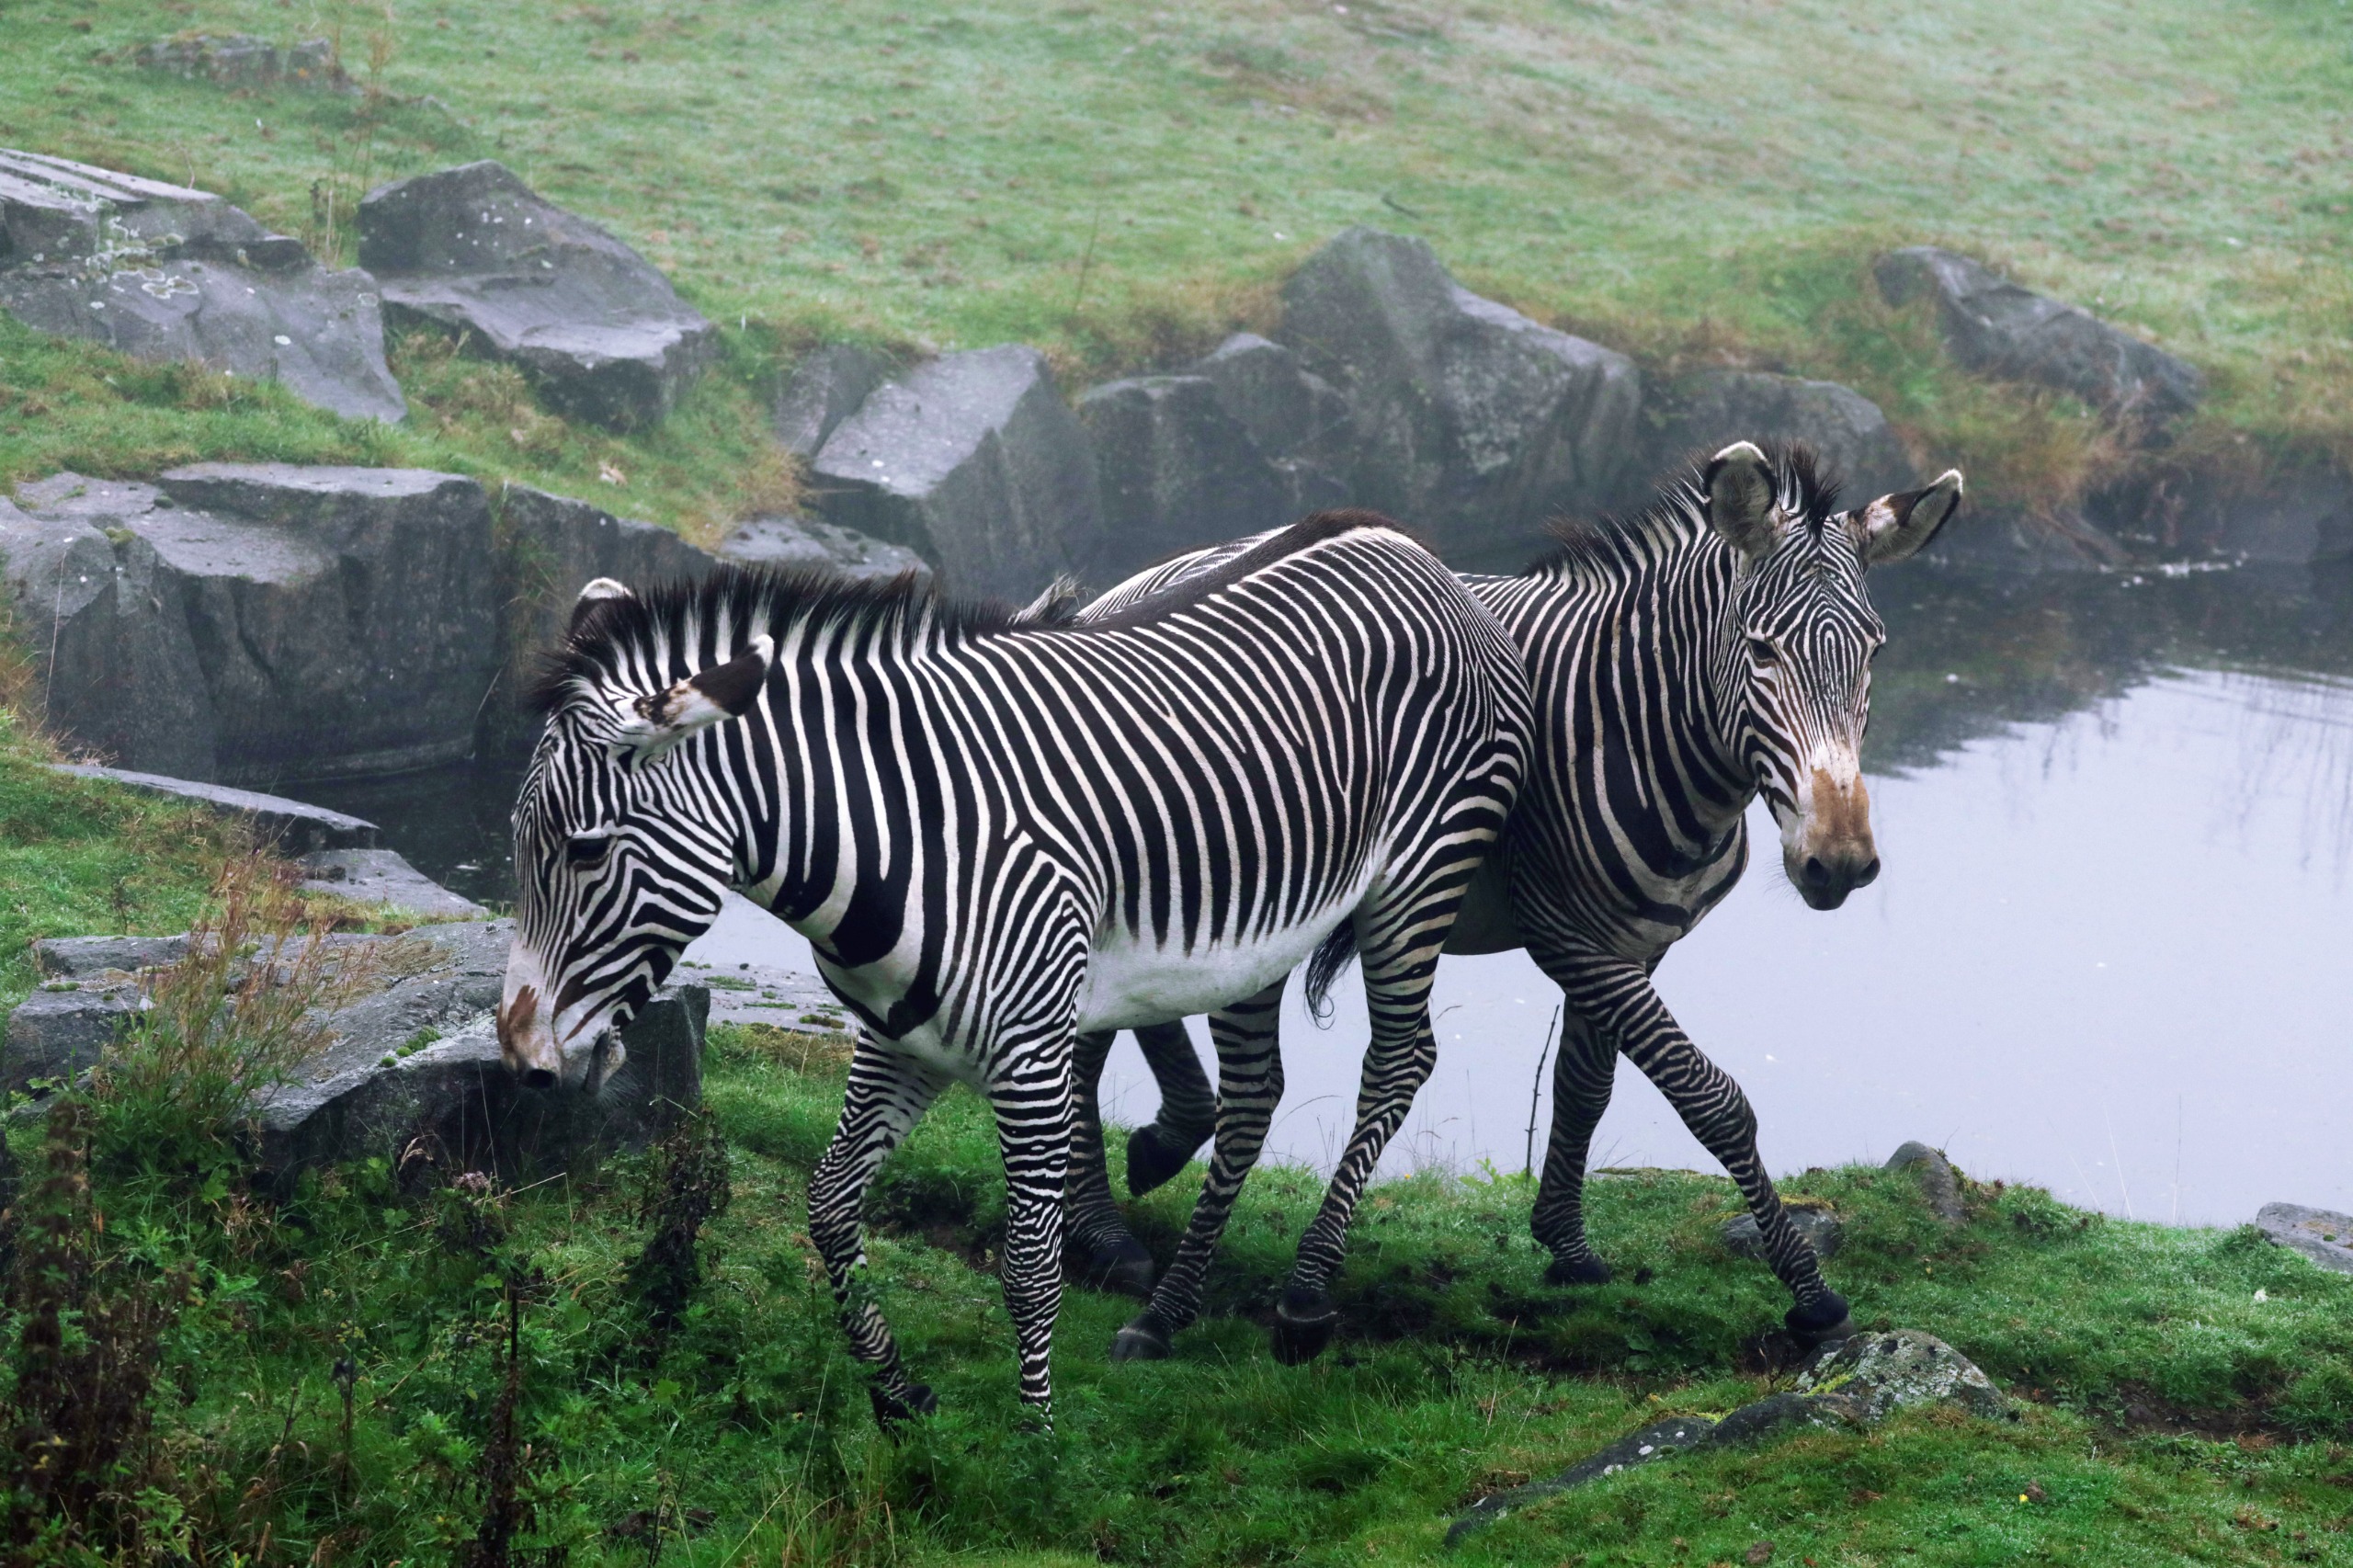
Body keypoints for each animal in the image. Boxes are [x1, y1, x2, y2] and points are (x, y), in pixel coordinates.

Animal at [494, 513, 1524, 1412]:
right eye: (517, 838)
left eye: (585, 850)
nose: (522, 1062)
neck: (900, 833)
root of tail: (1407, 545)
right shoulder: (897, 1036)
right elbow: (828, 1203)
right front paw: (899, 1396)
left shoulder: (1029, 1053)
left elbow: (1029, 1263)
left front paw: (1037, 1451)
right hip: (1263, 927)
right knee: (1254, 1093)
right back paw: (1165, 1314)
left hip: (1420, 876)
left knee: (1400, 1059)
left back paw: (1305, 1299)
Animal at [1059, 440, 1957, 1346]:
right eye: (1762, 650)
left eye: (1875, 653)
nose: (1839, 862)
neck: (1634, 725)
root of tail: (1130, 585)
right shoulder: (1567, 932)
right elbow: (1707, 1095)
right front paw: (1811, 1293)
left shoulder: (1636, 941)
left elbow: (1586, 1086)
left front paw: (1567, 1243)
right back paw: (1115, 1224)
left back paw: (1130, 1190)